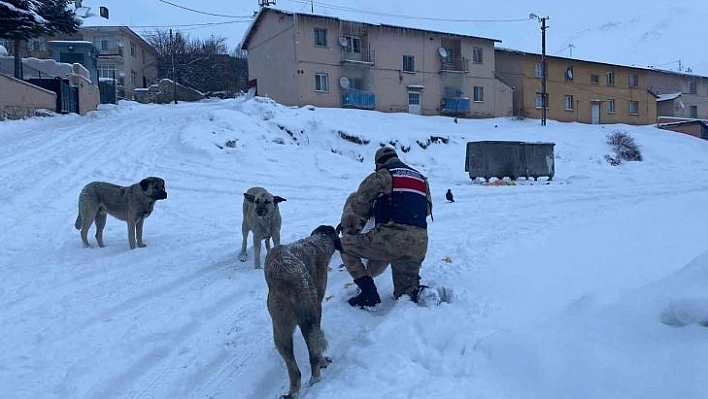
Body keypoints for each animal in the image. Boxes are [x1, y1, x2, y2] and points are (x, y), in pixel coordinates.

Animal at [266, 225, 342, 399]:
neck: (317, 242)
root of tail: (290, 284)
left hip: (281, 333)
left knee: (295, 371)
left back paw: (294, 391)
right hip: (308, 317)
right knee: (314, 353)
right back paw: (318, 373)